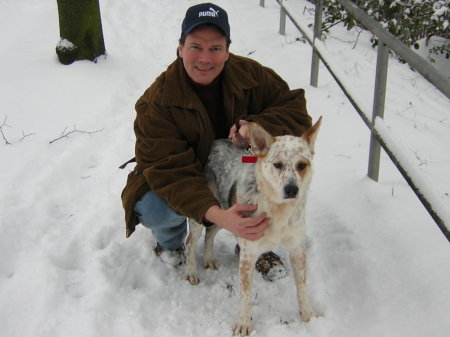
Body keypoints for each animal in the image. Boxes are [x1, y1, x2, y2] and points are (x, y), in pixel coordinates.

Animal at [185, 117, 322, 334]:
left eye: (302, 165)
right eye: (277, 164)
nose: (292, 189)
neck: (277, 210)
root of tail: (214, 142)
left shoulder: (297, 249)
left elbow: (302, 286)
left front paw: (308, 315)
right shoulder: (247, 253)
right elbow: (246, 295)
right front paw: (243, 323)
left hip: (224, 211)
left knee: (210, 233)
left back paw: (209, 258)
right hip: (206, 212)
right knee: (190, 242)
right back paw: (190, 272)